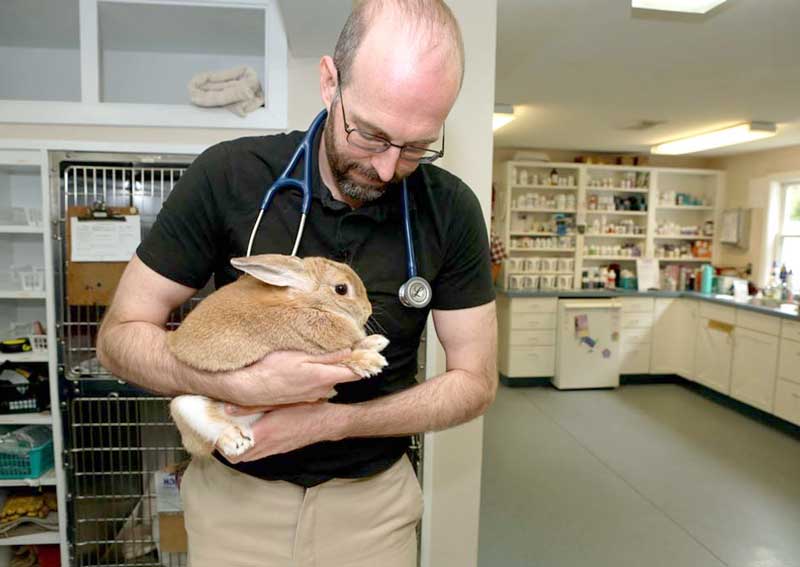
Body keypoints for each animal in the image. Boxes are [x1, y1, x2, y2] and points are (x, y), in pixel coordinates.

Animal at [168, 254, 389, 460]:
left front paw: (377, 342)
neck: (309, 303)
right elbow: (344, 356)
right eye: (341, 289)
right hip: (185, 406)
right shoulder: (311, 349)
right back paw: (235, 441)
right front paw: (372, 362)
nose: (367, 311)